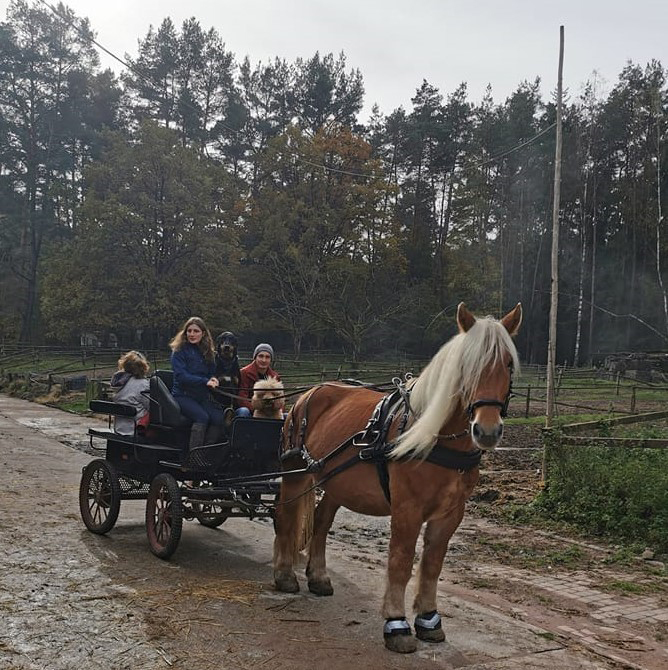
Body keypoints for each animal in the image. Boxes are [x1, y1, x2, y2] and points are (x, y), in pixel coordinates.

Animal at [272, 304, 520, 656]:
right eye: (465, 365)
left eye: (508, 364)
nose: (486, 431)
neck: (433, 436)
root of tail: (310, 392)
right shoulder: (407, 509)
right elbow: (401, 562)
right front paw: (396, 624)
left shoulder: (451, 514)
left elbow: (432, 564)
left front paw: (429, 619)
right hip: (295, 473)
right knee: (286, 516)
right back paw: (283, 575)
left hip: (335, 481)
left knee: (320, 522)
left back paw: (318, 577)